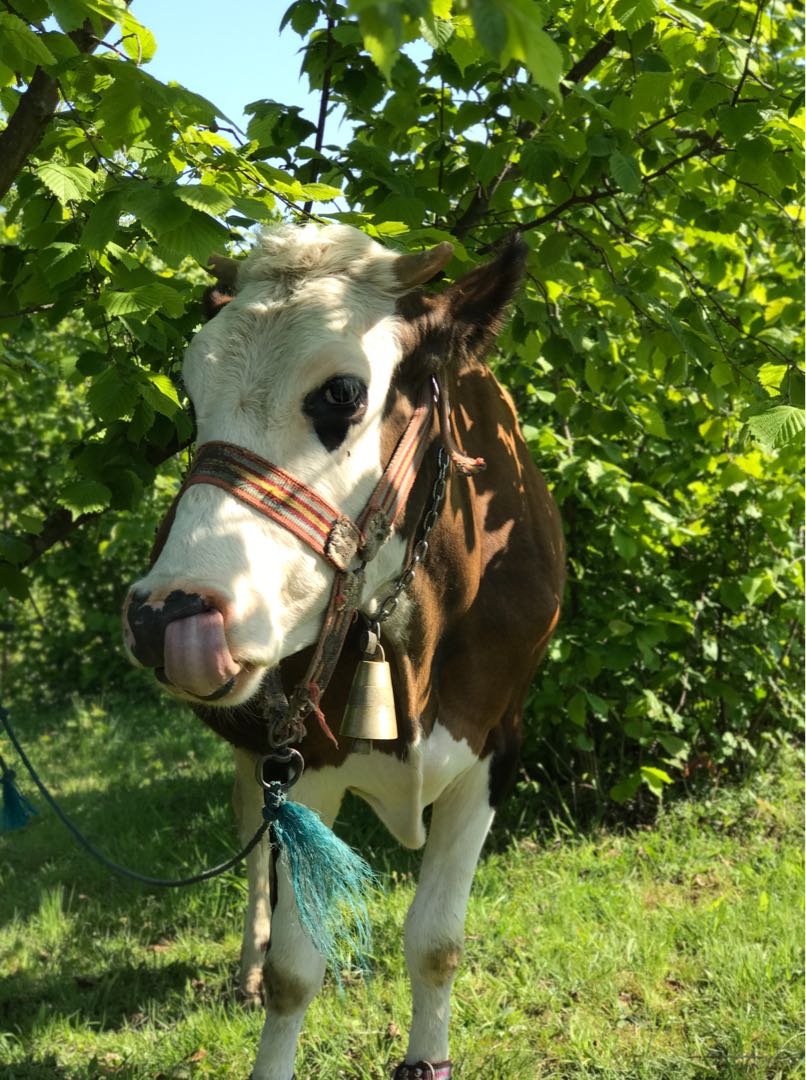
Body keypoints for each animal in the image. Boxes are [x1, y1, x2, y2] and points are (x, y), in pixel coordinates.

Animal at [123, 223, 564, 1080]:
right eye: (191, 397)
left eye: (342, 394)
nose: (168, 614)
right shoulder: (305, 758)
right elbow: (296, 972)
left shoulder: (497, 742)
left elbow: (437, 944)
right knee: (253, 842)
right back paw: (246, 964)